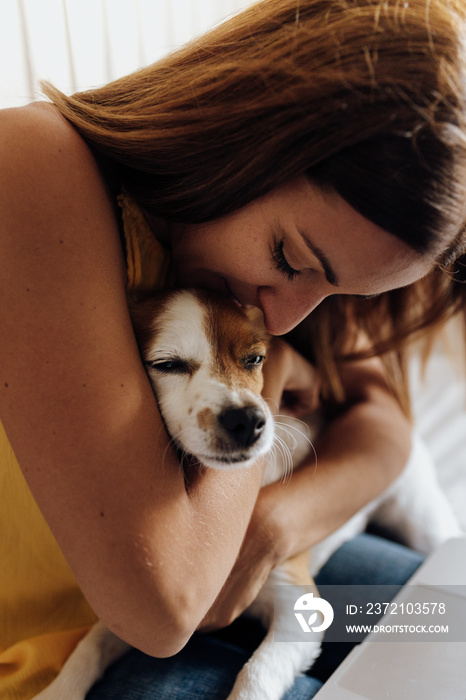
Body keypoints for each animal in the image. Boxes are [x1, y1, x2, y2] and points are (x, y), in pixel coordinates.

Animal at [34, 288, 464, 696]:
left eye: (255, 359)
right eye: (168, 364)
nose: (248, 420)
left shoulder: (299, 611)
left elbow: (255, 676)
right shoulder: (146, 619)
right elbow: (90, 646)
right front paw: (56, 691)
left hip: (424, 522)